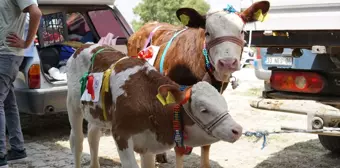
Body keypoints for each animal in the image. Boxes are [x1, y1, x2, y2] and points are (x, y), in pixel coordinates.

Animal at [65, 44, 242, 167]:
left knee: (93, 137)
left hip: (96, 115)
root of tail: (84, 46)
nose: (237, 130)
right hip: (72, 105)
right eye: (204, 109)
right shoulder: (121, 135)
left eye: (224, 103)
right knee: (77, 141)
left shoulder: (148, 145)